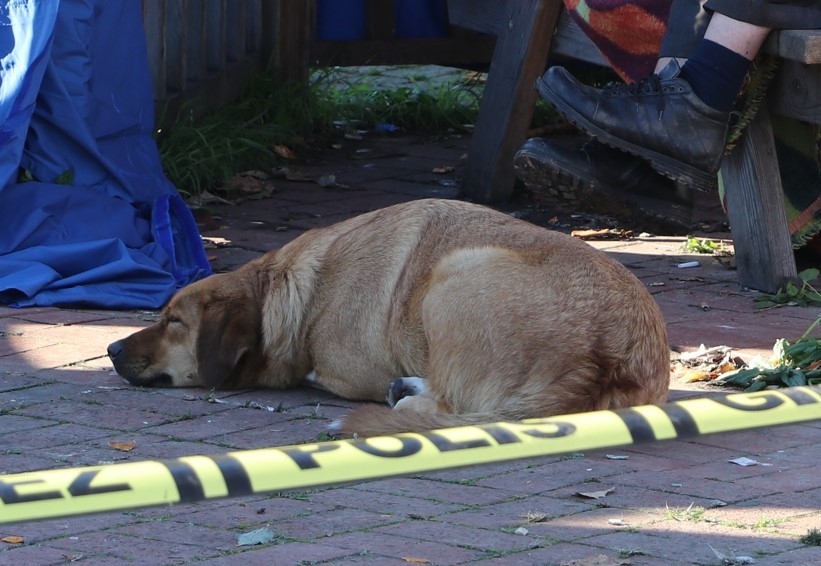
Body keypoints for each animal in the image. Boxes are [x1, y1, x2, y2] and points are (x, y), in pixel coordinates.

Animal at [109, 200, 668, 440]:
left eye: (174, 322)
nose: (111, 350)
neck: (292, 290)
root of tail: (601, 354)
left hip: (453, 276)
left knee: (450, 404)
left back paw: (405, 397)